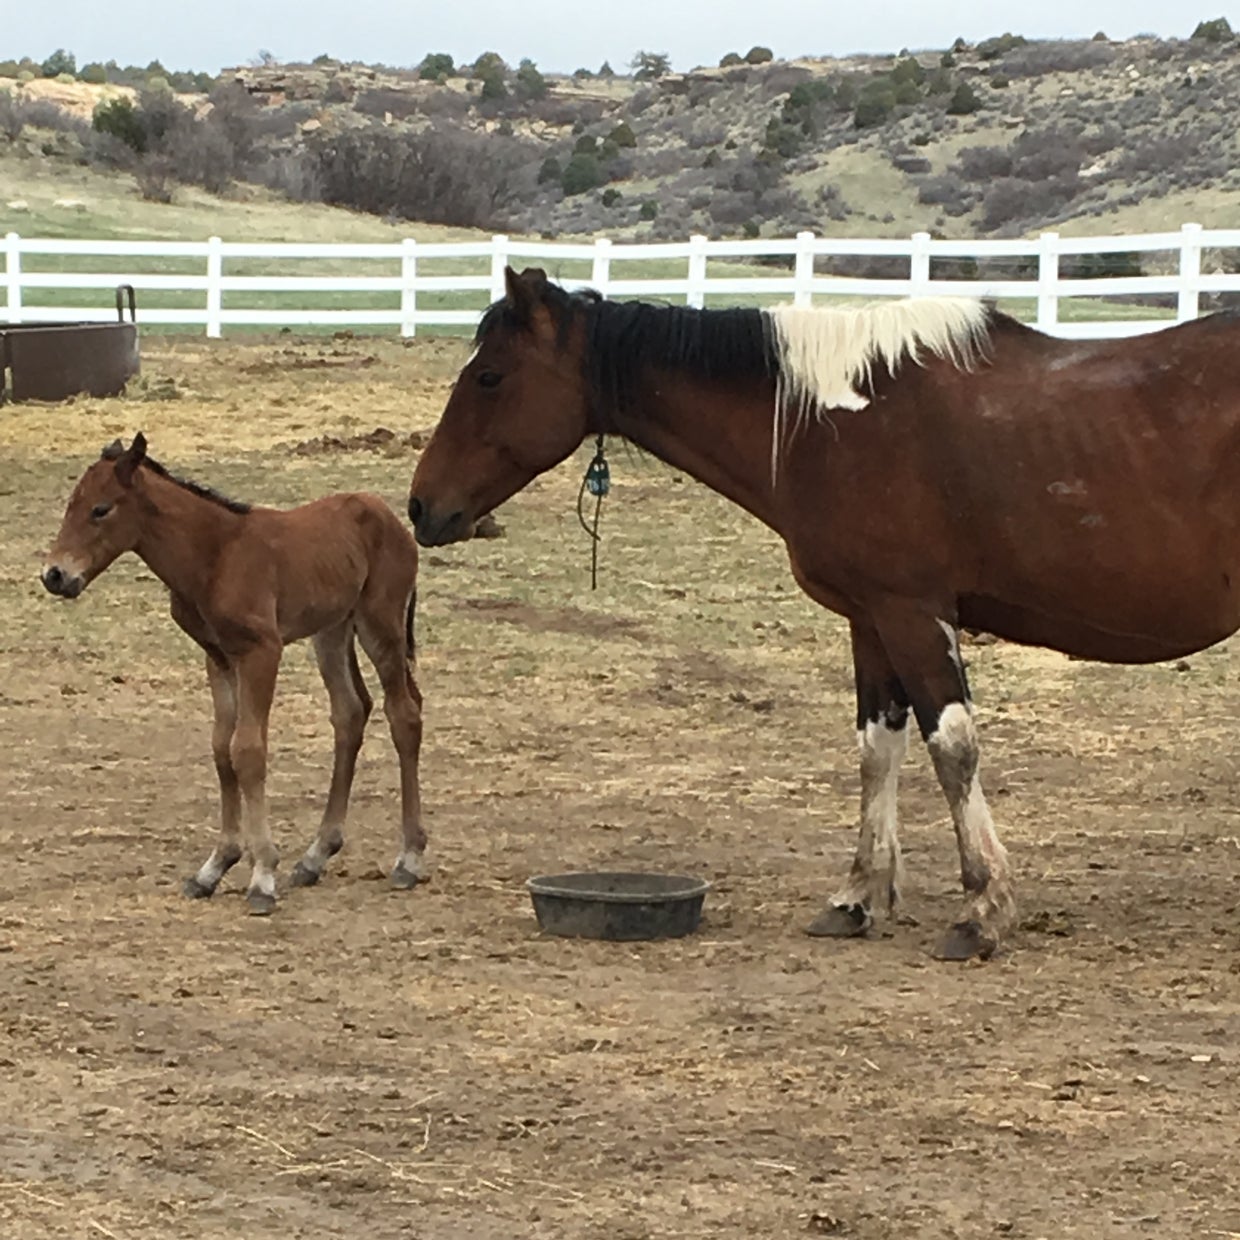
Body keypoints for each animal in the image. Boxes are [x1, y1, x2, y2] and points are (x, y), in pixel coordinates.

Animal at [42, 434, 427, 916]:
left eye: (100, 509)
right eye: (70, 505)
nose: (55, 575)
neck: (214, 554)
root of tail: (390, 516)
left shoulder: (262, 651)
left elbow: (248, 750)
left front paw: (262, 876)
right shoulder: (219, 657)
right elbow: (221, 748)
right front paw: (214, 867)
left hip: (381, 625)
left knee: (404, 714)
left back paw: (408, 858)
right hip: (332, 631)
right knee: (351, 713)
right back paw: (316, 856)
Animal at [408, 266, 1240, 960]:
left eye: (490, 376)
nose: (421, 508)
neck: (829, 421)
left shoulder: (913, 612)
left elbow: (953, 749)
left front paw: (982, 911)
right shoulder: (871, 619)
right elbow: (879, 749)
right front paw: (859, 897)